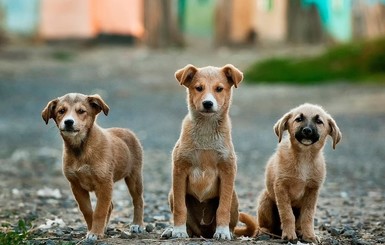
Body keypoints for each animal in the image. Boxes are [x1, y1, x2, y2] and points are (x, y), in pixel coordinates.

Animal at [41, 94, 144, 241]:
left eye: (81, 111)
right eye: (61, 111)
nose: (68, 122)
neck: (80, 149)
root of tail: (127, 131)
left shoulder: (104, 183)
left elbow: (100, 211)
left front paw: (95, 232)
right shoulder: (76, 186)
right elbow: (88, 211)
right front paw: (93, 230)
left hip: (134, 177)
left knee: (138, 200)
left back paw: (137, 224)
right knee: (110, 206)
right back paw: (105, 227)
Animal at [255, 103, 342, 243]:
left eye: (319, 121)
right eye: (299, 119)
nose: (307, 130)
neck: (304, 158)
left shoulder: (312, 190)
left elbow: (308, 216)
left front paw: (309, 235)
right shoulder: (281, 187)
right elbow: (287, 214)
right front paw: (289, 235)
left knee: (299, 222)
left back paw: (300, 232)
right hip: (265, 199)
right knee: (265, 225)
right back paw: (264, 232)